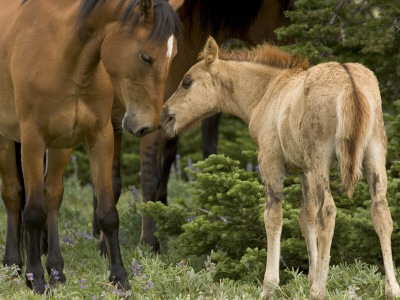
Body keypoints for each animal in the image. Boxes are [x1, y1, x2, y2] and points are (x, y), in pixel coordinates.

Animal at [0, 0, 180, 292]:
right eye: (146, 57)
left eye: (172, 57)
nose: (148, 125)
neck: (63, 55)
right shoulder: (32, 141)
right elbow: (34, 211)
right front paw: (35, 278)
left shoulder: (99, 139)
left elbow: (107, 212)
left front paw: (119, 278)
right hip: (7, 140)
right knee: (13, 196)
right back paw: (14, 266)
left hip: (61, 147)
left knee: (53, 195)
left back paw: (57, 271)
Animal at [161, 37, 400, 300]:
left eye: (187, 81)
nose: (165, 115)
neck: (260, 96)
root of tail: (351, 88)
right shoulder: (304, 169)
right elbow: (306, 216)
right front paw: (309, 276)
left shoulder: (270, 160)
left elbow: (274, 217)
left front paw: (271, 285)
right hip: (374, 155)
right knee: (381, 212)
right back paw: (391, 288)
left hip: (321, 157)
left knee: (328, 211)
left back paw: (319, 290)